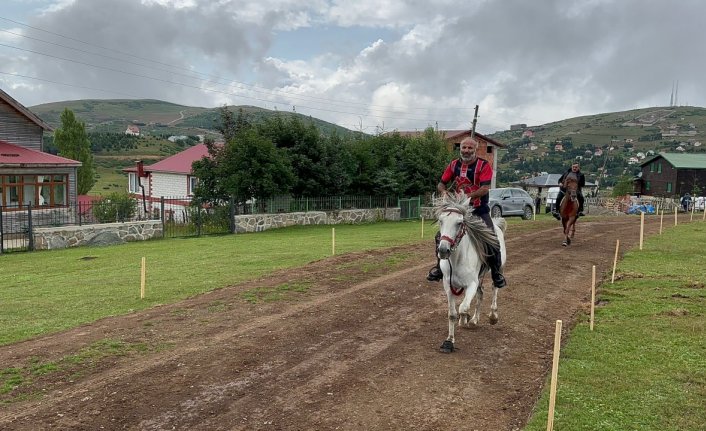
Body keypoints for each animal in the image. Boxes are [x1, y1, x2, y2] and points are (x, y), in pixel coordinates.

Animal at [432, 193, 504, 354]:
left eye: (459, 223)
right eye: (440, 221)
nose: (443, 250)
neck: (457, 259)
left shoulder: (471, 283)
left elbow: (463, 308)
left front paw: (464, 318)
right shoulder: (448, 285)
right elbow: (452, 314)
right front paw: (449, 341)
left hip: (498, 269)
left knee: (494, 288)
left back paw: (493, 316)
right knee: (481, 294)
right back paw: (474, 320)